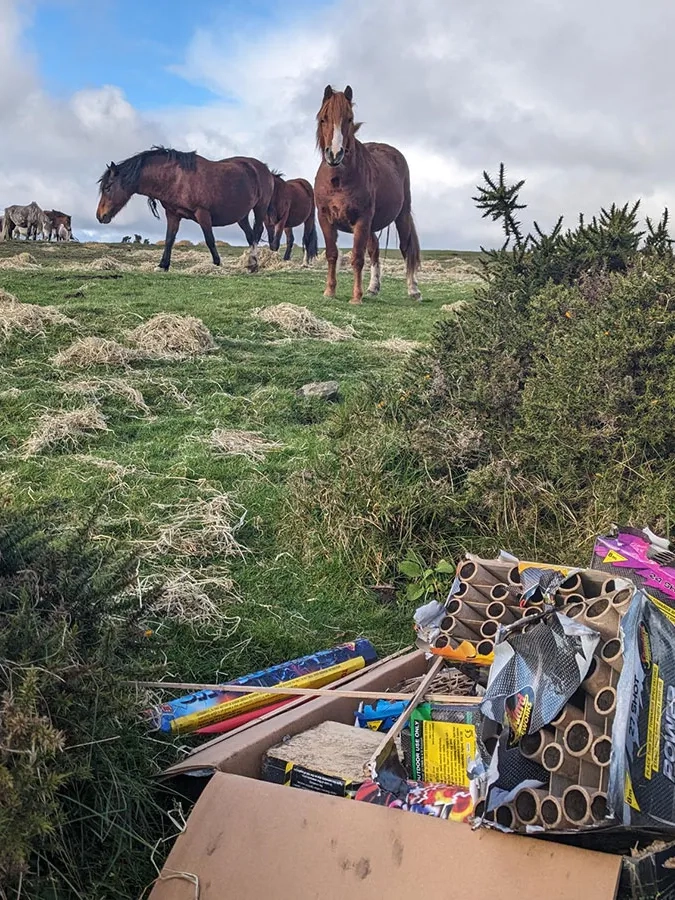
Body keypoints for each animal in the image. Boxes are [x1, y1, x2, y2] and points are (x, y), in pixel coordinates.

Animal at [96, 146, 275, 272]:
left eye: (108, 187)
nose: (100, 216)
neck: (176, 179)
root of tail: (264, 168)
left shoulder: (202, 213)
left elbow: (210, 240)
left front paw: (217, 264)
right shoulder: (173, 214)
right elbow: (169, 239)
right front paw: (162, 265)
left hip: (260, 208)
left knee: (257, 232)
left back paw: (254, 264)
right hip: (241, 216)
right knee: (250, 236)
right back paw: (251, 264)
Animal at [314, 85, 422, 304]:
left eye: (349, 119)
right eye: (323, 118)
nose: (335, 154)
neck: (338, 180)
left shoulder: (362, 220)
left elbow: (357, 257)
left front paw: (356, 297)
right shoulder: (325, 219)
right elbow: (332, 254)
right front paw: (329, 291)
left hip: (401, 216)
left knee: (406, 248)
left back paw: (413, 289)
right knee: (375, 249)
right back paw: (373, 287)